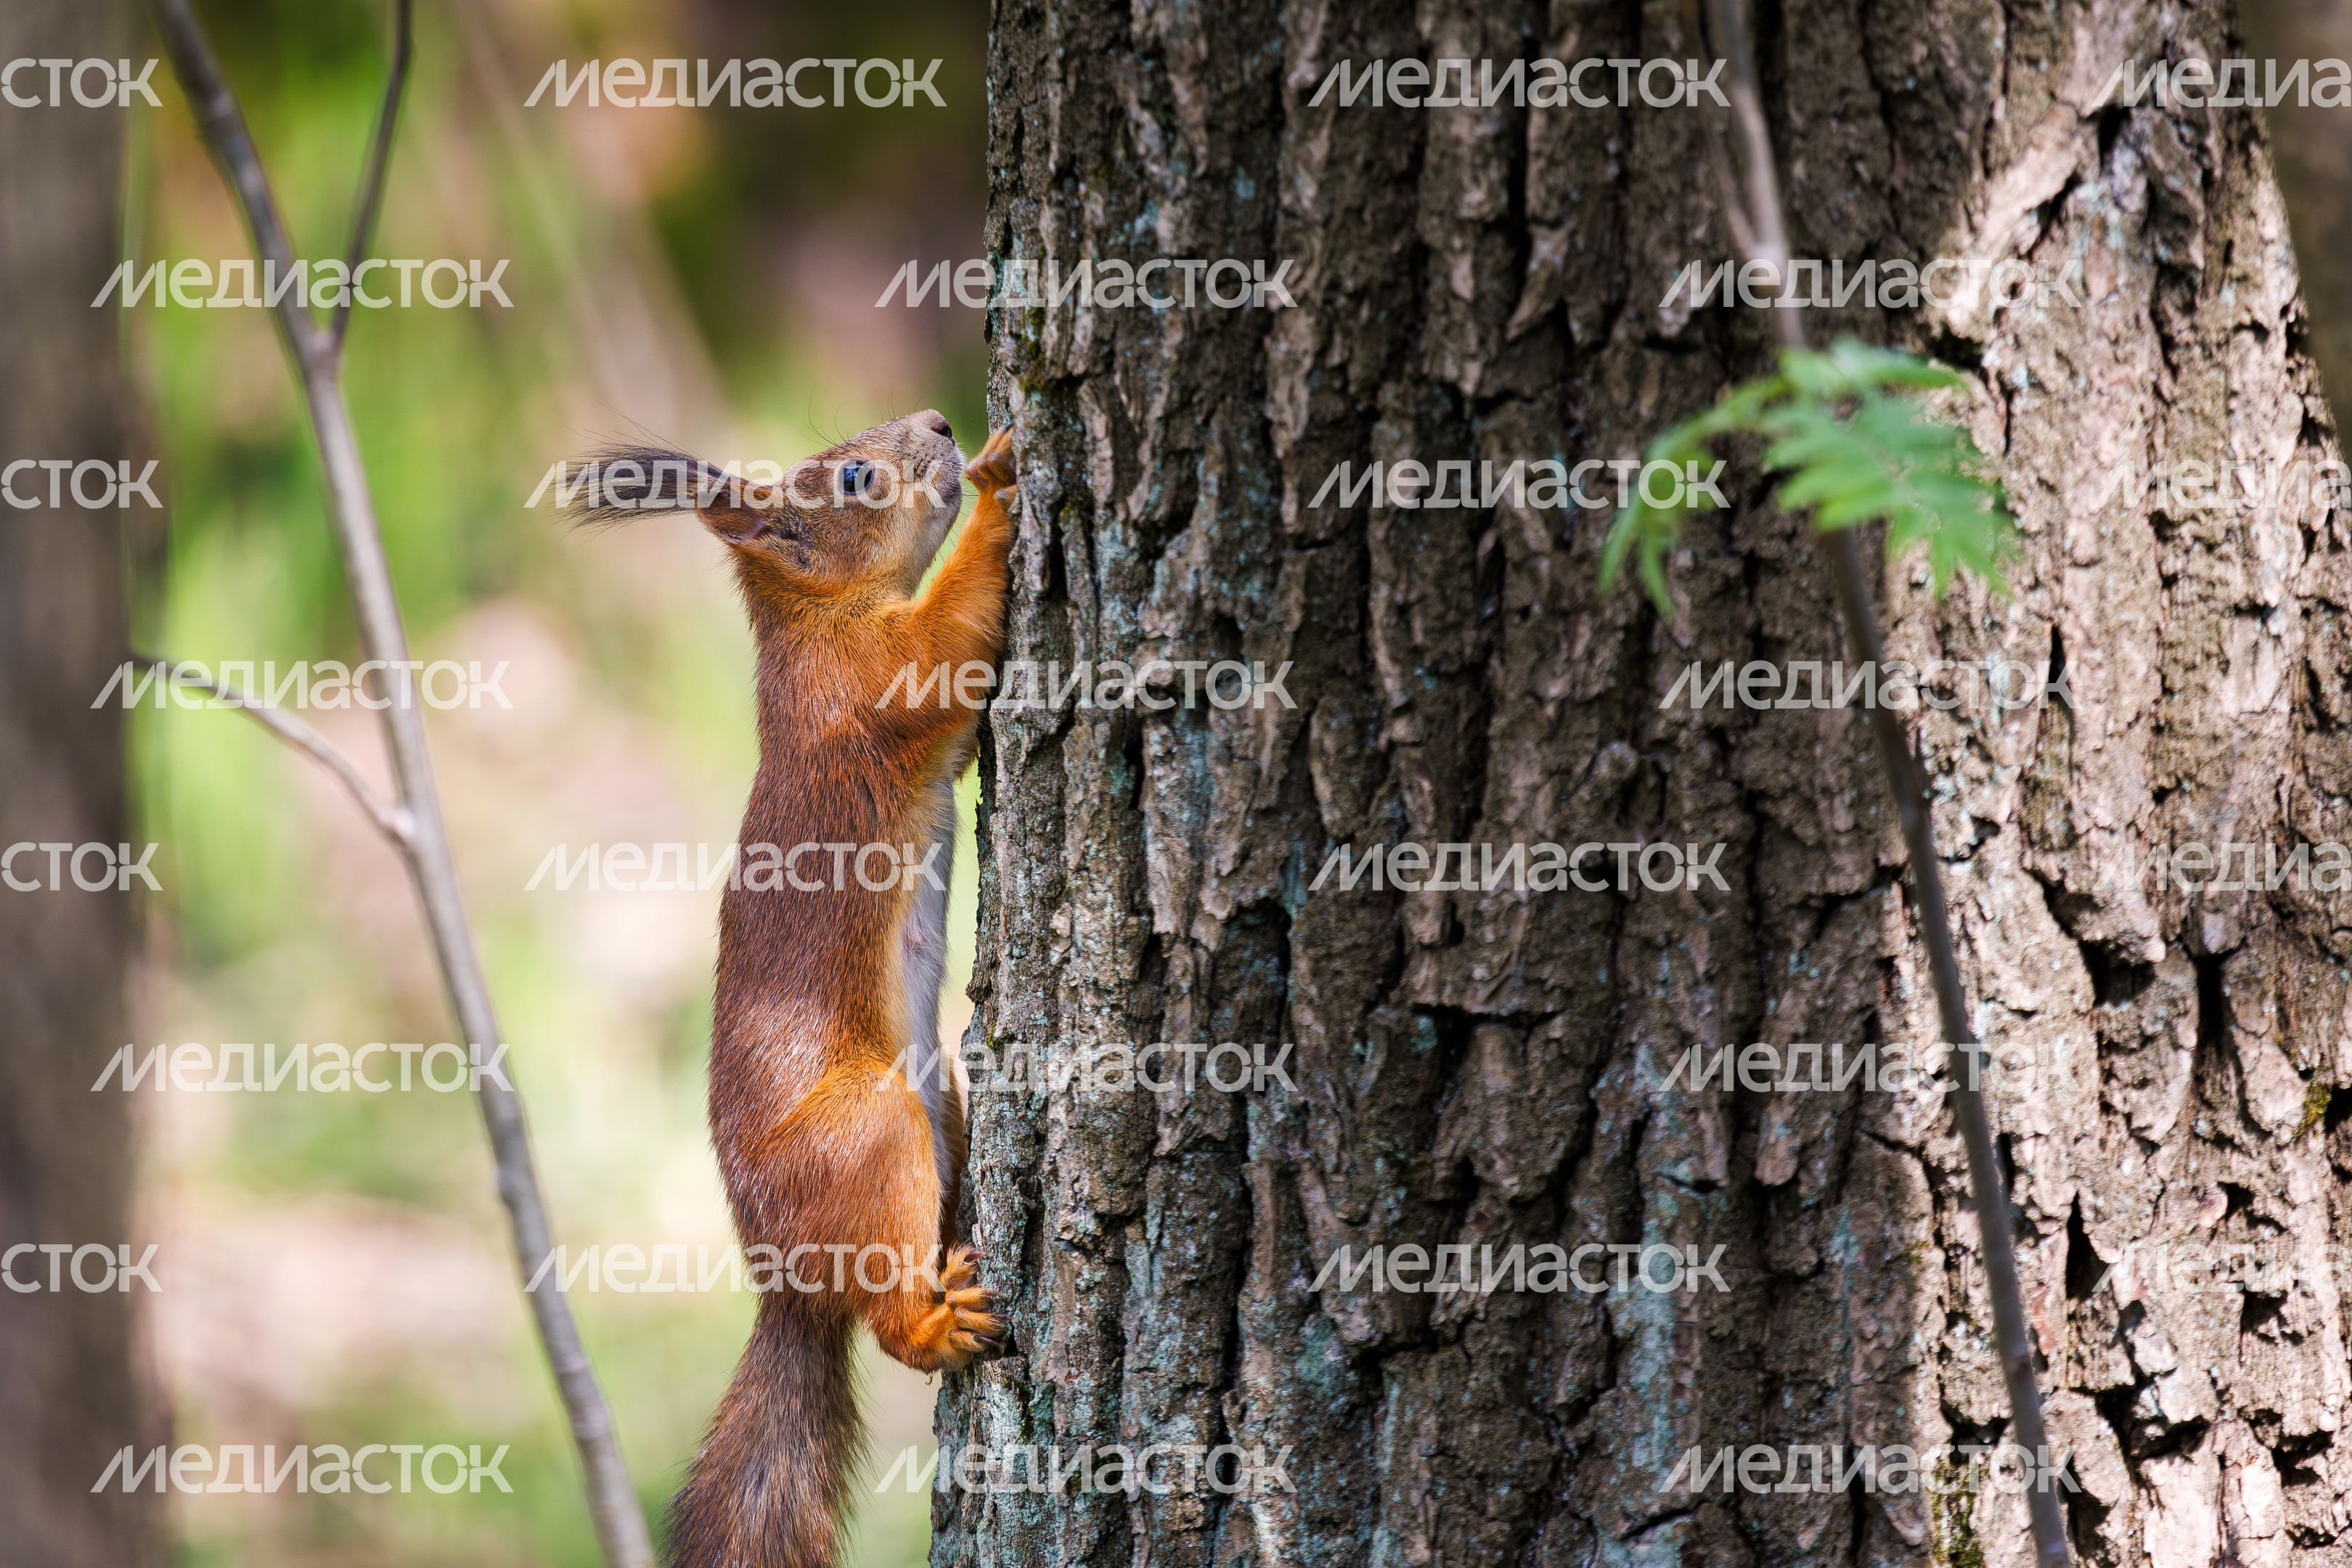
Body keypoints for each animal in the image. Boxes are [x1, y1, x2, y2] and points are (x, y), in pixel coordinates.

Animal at [571, 411, 1016, 1568]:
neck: (812, 625)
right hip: (867, 1133)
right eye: (856, 474)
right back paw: (935, 1324)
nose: (938, 424)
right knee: (891, 1328)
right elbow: (948, 639)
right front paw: (999, 483)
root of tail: (787, 1279)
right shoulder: (871, 679)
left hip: (938, 1106)